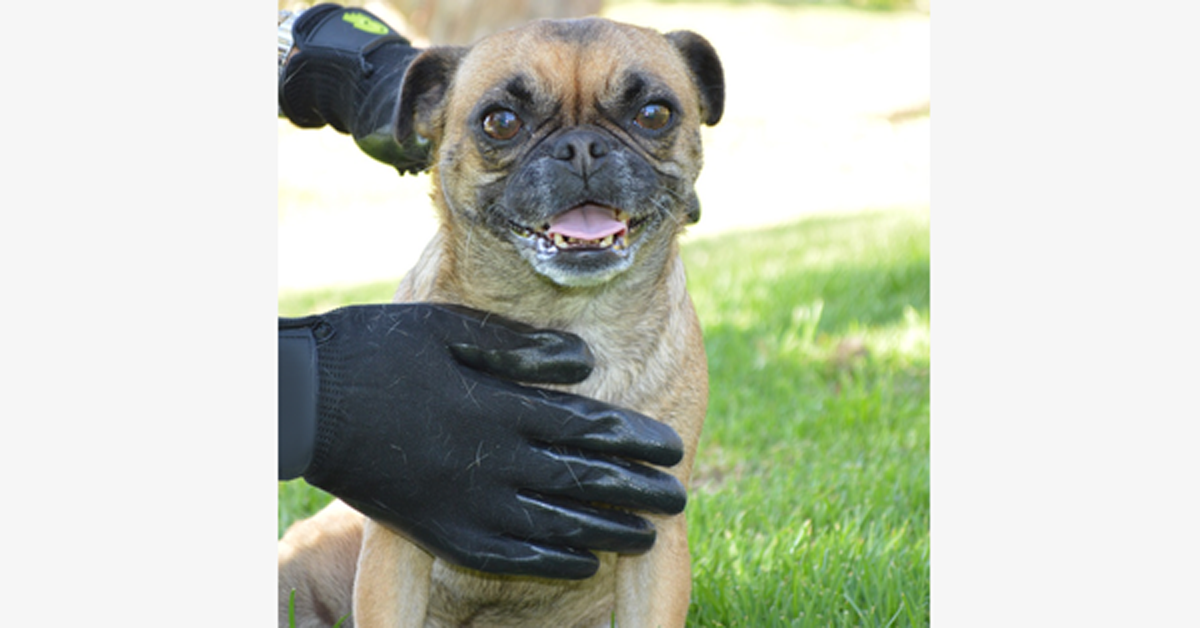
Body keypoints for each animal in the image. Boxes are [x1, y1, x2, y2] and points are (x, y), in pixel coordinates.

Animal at [280, 15, 720, 628]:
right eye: (501, 122)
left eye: (654, 113)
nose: (581, 146)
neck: (567, 316)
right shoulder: (394, 550)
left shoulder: (656, 542)